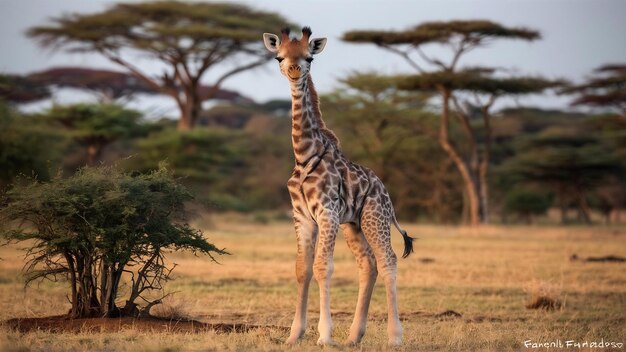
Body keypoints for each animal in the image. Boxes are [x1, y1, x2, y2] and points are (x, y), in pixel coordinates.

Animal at [260, 26, 412, 346]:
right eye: (280, 57)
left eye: (309, 57)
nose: (294, 71)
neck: (304, 155)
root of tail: (385, 191)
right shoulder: (302, 216)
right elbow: (302, 269)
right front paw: (294, 334)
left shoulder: (326, 213)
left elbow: (323, 267)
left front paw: (324, 335)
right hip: (353, 224)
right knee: (368, 264)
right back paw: (354, 336)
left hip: (374, 217)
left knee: (388, 260)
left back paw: (395, 337)